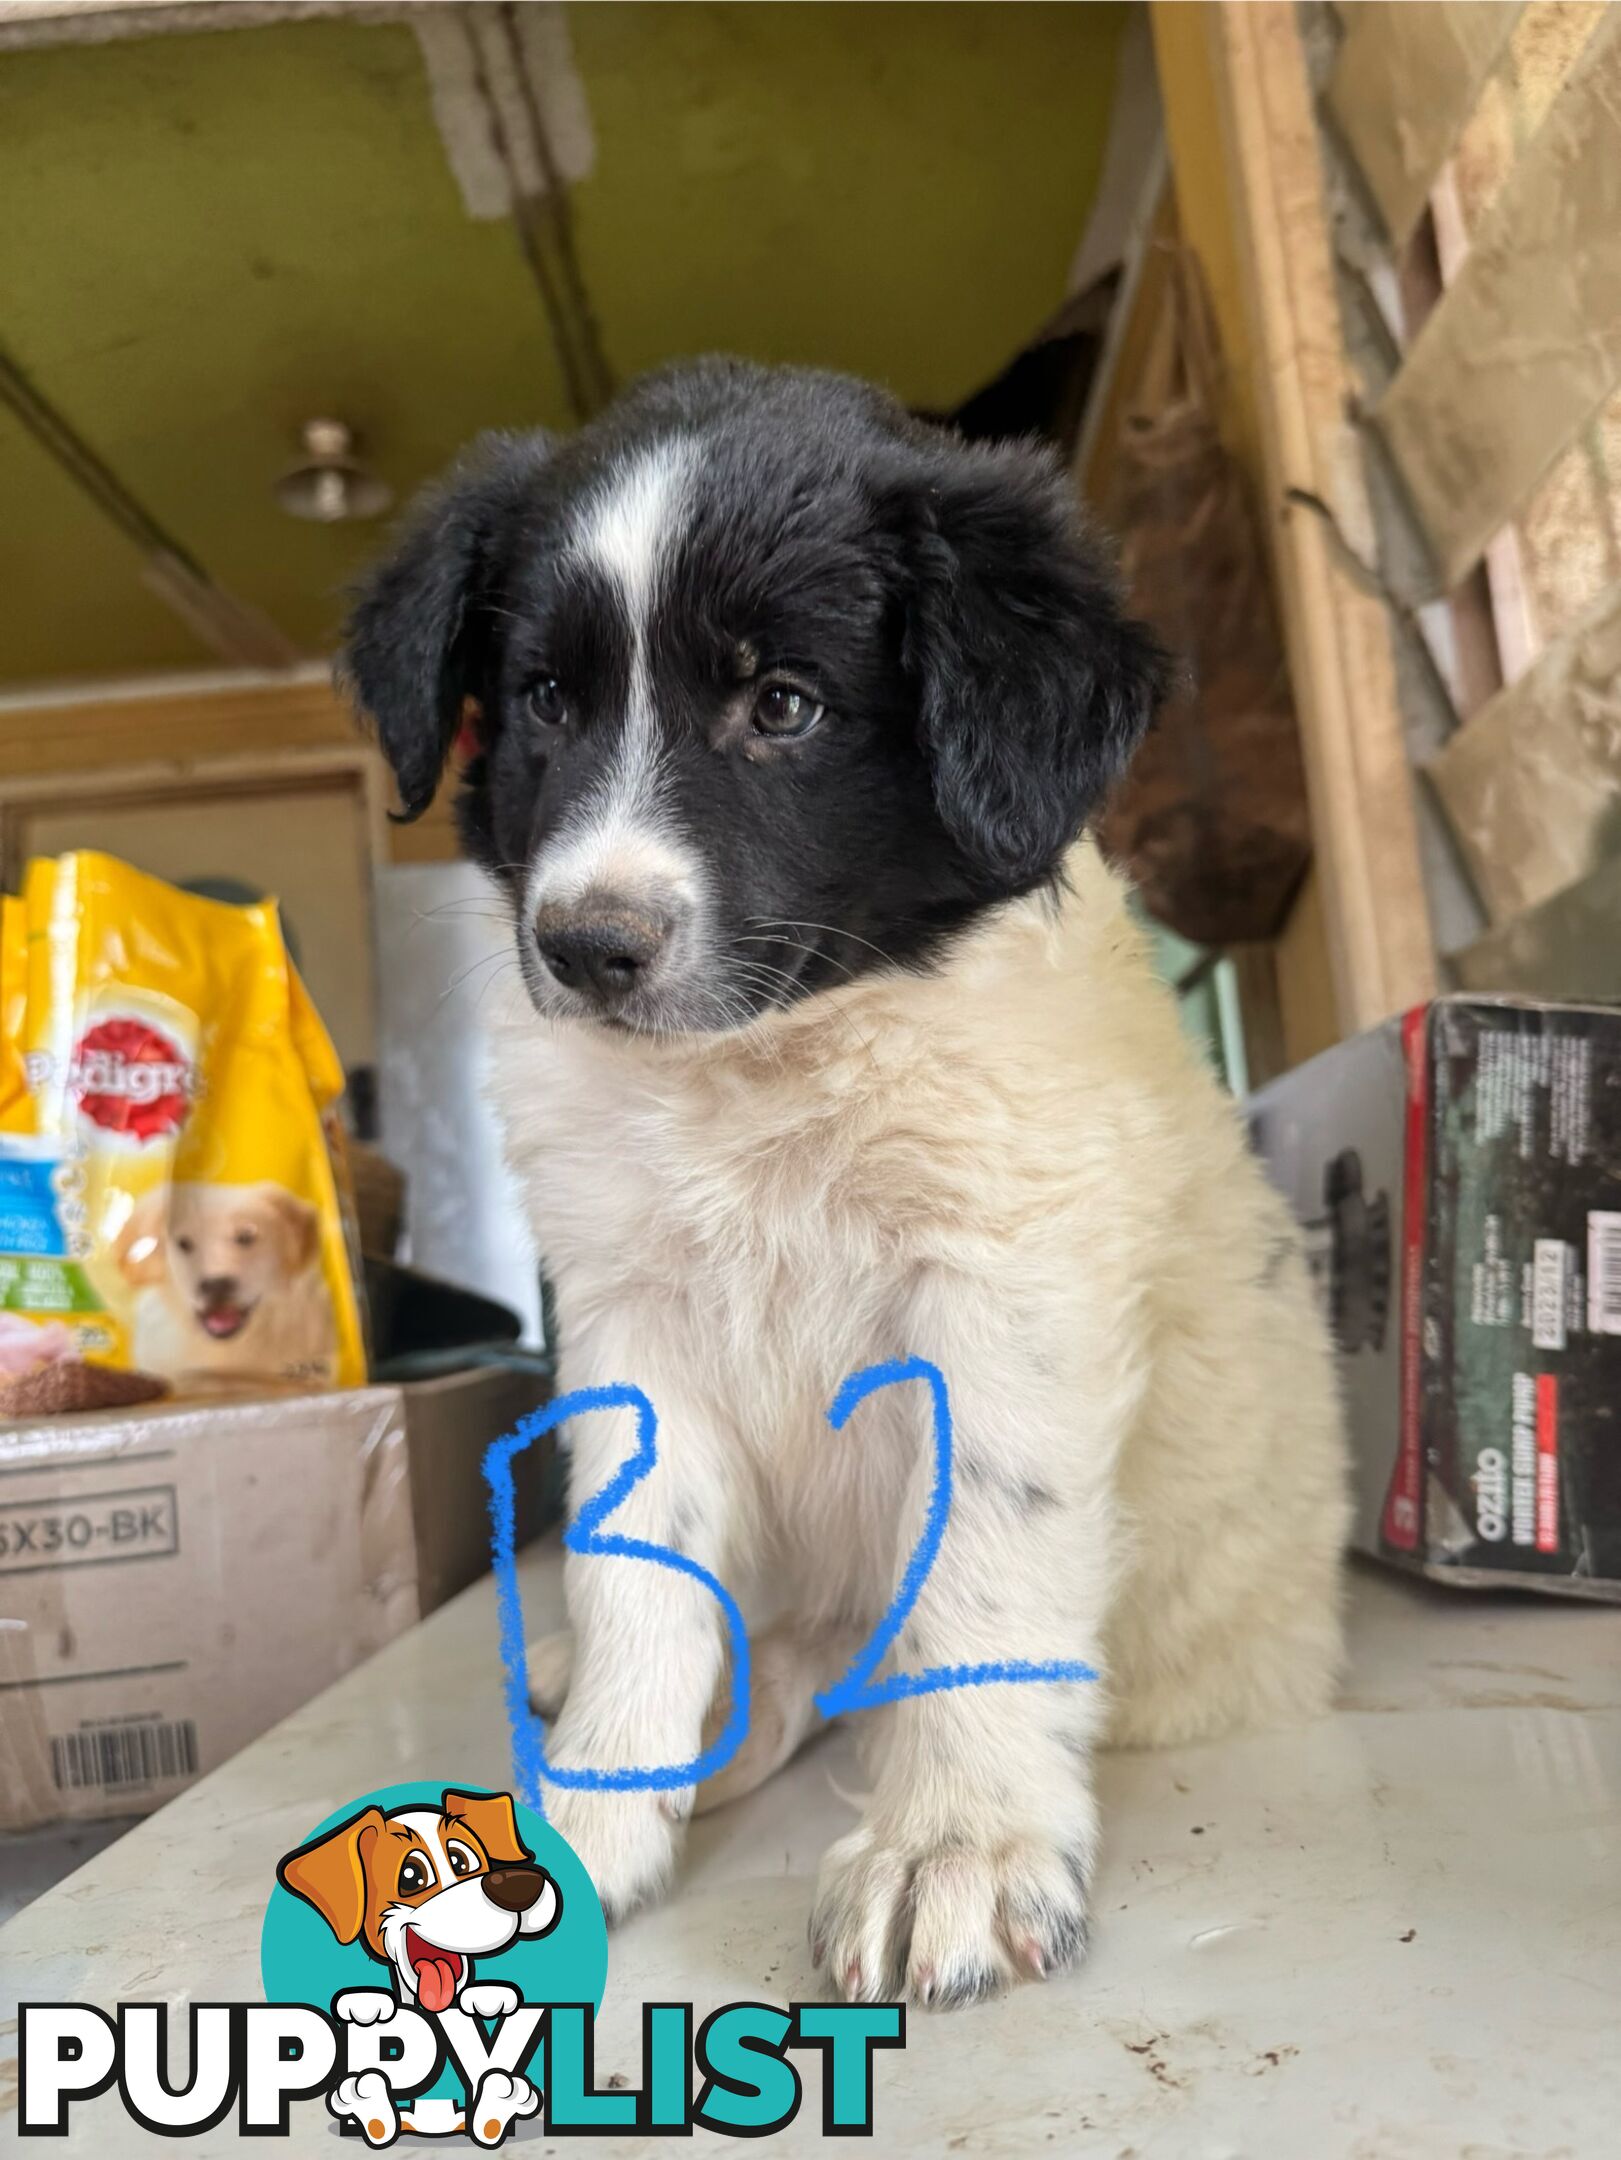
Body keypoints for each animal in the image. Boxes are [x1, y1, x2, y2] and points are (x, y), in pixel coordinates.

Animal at [350, 362, 1348, 2013]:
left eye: (783, 705)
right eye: (547, 699)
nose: (585, 946)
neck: (768, 1070)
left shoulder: (1002, 1291)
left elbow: (982, 1567)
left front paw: (960, 1841)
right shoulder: (629, 1311)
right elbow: (637, 1573)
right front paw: (582, 1817)